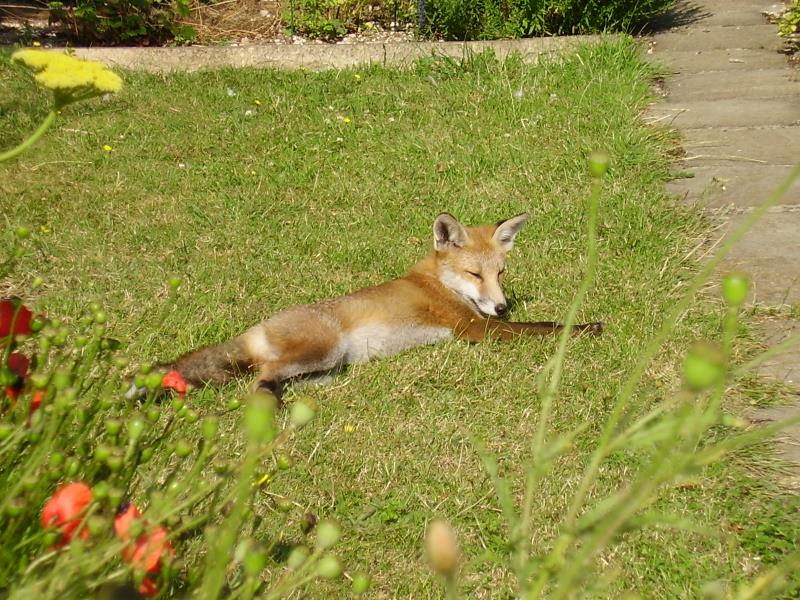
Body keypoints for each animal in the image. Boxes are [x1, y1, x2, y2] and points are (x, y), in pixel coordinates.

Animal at [161, 213, 600, 400]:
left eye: (502, 272)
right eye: (475, 274)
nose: (503, 307)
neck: (439, 284)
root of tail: (258, 327)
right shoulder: (476, 329)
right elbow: (545, 326)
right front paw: (585, 328)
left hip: (327, 368)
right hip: (324, 351)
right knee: (262, 374)